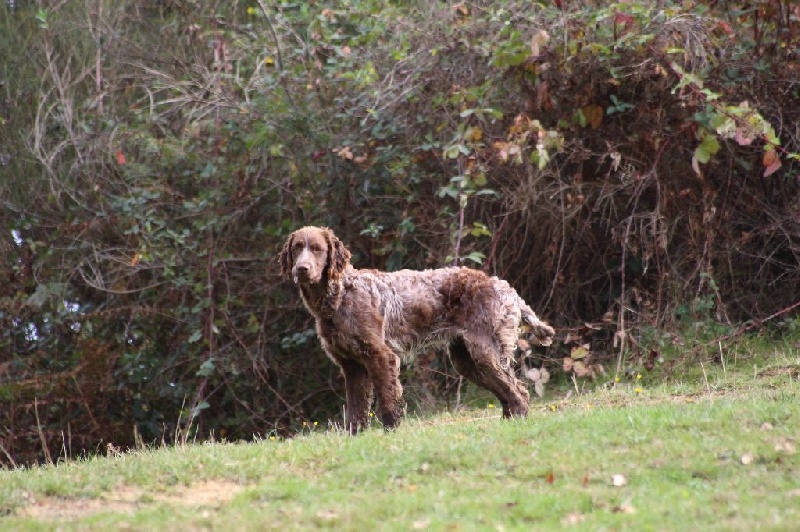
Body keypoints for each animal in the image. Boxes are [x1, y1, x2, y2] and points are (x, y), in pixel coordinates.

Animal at [282, 224, 556, 432]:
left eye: (318, 249)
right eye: (297, 248)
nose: (302, 269)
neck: (339, 295)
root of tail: (506, 287)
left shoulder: (381, 356)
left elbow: (388, 401)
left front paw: (391, 432)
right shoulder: (352, 366)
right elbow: (356, 410)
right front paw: (355, 438)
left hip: (485, 352)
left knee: (518, 391)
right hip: (467, 360)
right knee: (507, 391)